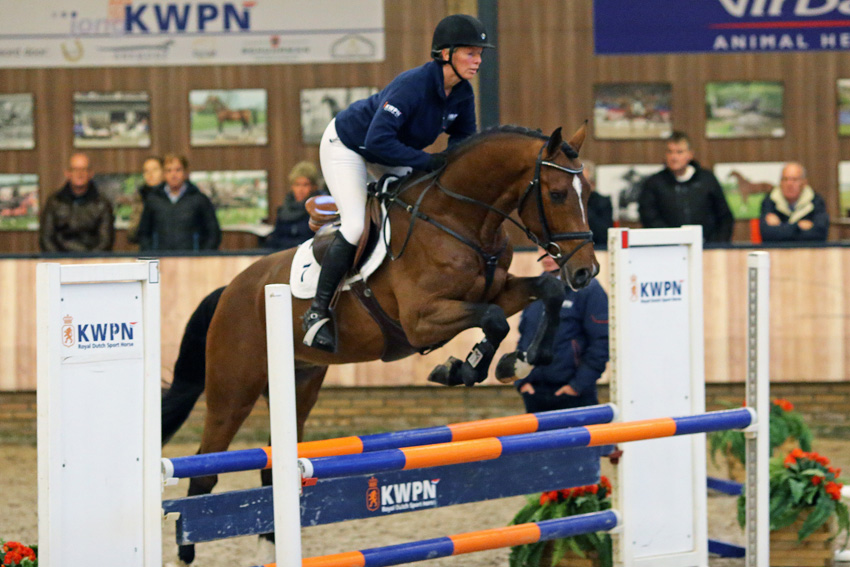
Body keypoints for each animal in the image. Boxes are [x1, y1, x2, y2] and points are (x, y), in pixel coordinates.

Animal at [171, 124, 599, 564]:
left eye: (587, 191)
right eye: (558, 194)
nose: (586, 271)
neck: (457, 219)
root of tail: (231, 289)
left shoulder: (500, 290)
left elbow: (546, 290)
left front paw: (518, 361)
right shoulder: (422, 320)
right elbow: (494, 320)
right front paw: (463, 368)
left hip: (299, 383)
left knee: (272, 466)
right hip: (233, 389)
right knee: (204, 471)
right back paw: (186, 554)